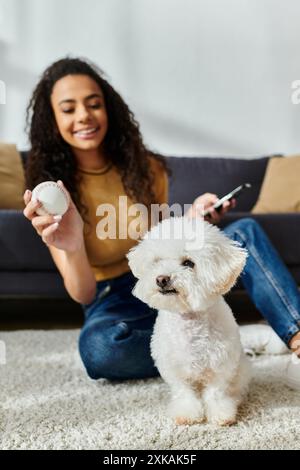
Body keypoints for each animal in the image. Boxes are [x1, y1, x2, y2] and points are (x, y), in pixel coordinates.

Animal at [126, 216, 251, 426]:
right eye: (157, 261)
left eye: (188, 263)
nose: (162, 279)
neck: (189, 321)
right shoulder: (173, 367)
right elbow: (183, 392)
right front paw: (187, 413)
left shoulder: (221, 365)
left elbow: (216, 392)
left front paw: (221, 413)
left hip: (240, 369)